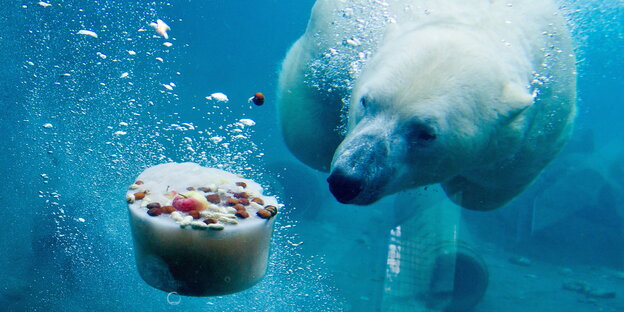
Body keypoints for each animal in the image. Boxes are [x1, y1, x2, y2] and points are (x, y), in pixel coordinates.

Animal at [278, 0, 576, 210]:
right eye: (366, 101)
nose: (347, 180)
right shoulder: (338, 31)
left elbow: (490, 187)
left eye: (426, 134)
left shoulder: (547, 117)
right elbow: (307, 131)